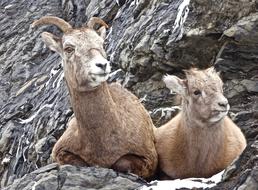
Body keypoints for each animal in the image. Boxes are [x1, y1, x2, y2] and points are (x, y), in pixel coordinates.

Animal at [32, 16, 157, 178]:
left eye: (101, 43)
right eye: (68, 48)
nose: (102, 65)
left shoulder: (149, 159)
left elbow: (121, 163)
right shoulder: (60, 151)